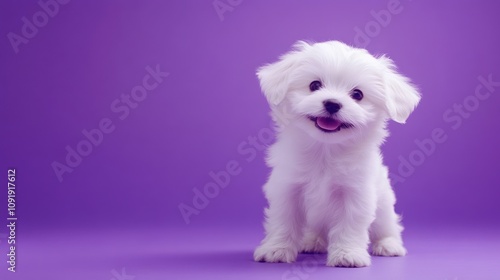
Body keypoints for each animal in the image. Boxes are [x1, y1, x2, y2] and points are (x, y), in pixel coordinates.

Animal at [252, 40, 420, 266]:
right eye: (314, 85)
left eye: (357, 95)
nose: (332, 103)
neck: (326, 150)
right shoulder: (287, 189)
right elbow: (283, 221)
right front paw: (276, 249)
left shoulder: (355, 193)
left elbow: (350, 225)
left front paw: (347, 254)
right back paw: (312, 241)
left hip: (384, 206)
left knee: (387, 227)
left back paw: (388, 245)